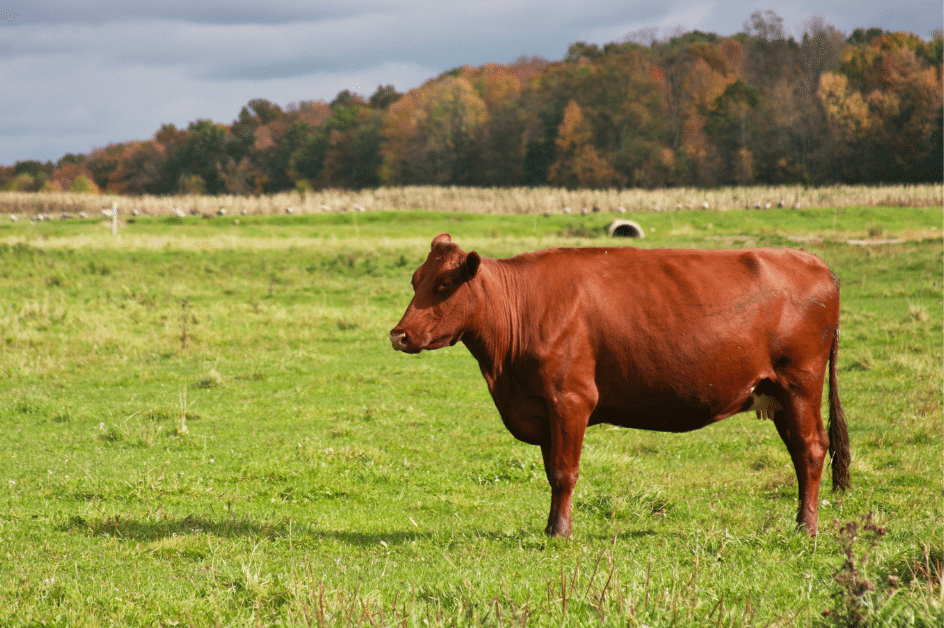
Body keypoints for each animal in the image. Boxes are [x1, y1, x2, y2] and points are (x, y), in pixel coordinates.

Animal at [388, 233, 852, 536]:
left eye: (444, 284)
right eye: (415, 280)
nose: (399, 334)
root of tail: (818, 265)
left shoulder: (570, 399)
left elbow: (564, 473)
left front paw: (560, 532)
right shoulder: (542, 408)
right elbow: (550, 471)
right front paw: (550, 526)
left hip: (801, 383)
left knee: (812, 449)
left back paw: (806, 528)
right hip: (778, 393)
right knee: (800, 452)